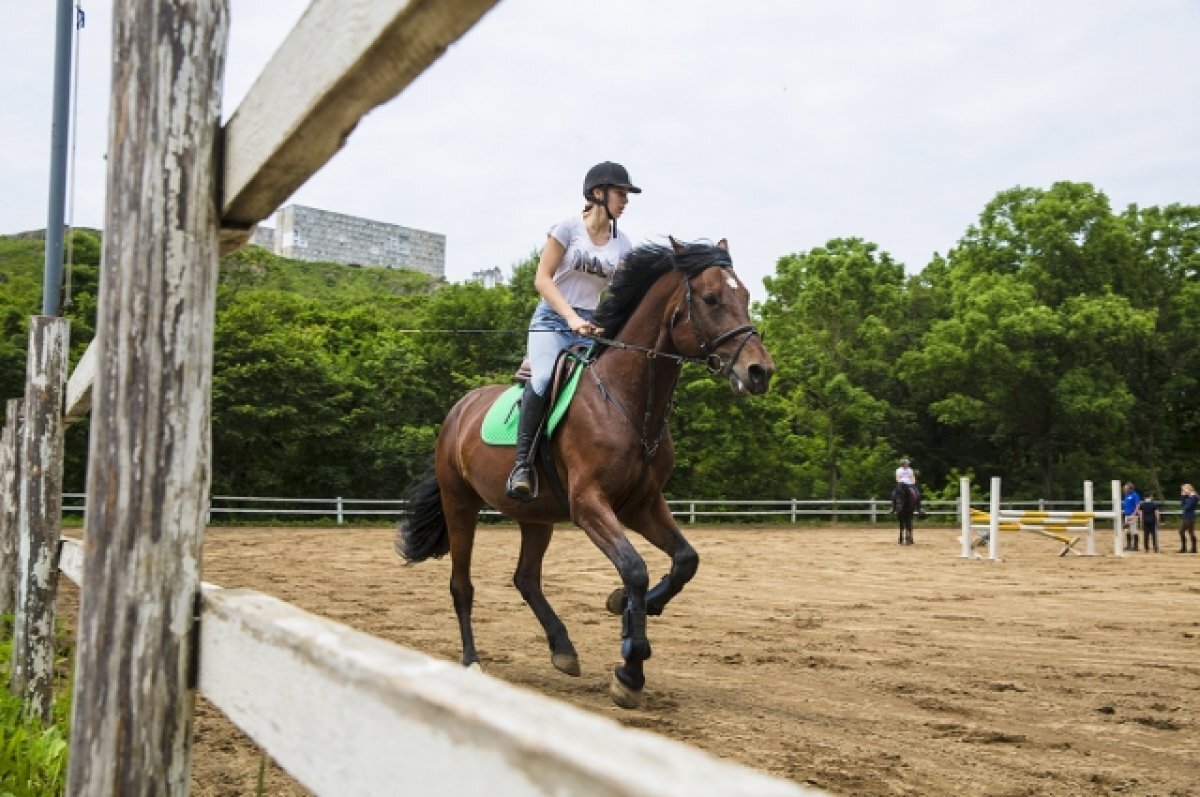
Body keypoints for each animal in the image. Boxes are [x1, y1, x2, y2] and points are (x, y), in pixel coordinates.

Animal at [396, 237, 777, 710]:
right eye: (711, 299)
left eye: (746, 296)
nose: (760, 372)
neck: (628, 402)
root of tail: (458, 410)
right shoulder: (589, 505)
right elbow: (634, 568)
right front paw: (630, 666)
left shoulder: (641, 504)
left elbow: (686, 560)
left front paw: (629, 608)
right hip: (459, 503)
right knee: (461, 584)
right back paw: (472, 662)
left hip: (536, 517)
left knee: (526, 579)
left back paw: (563, 649)